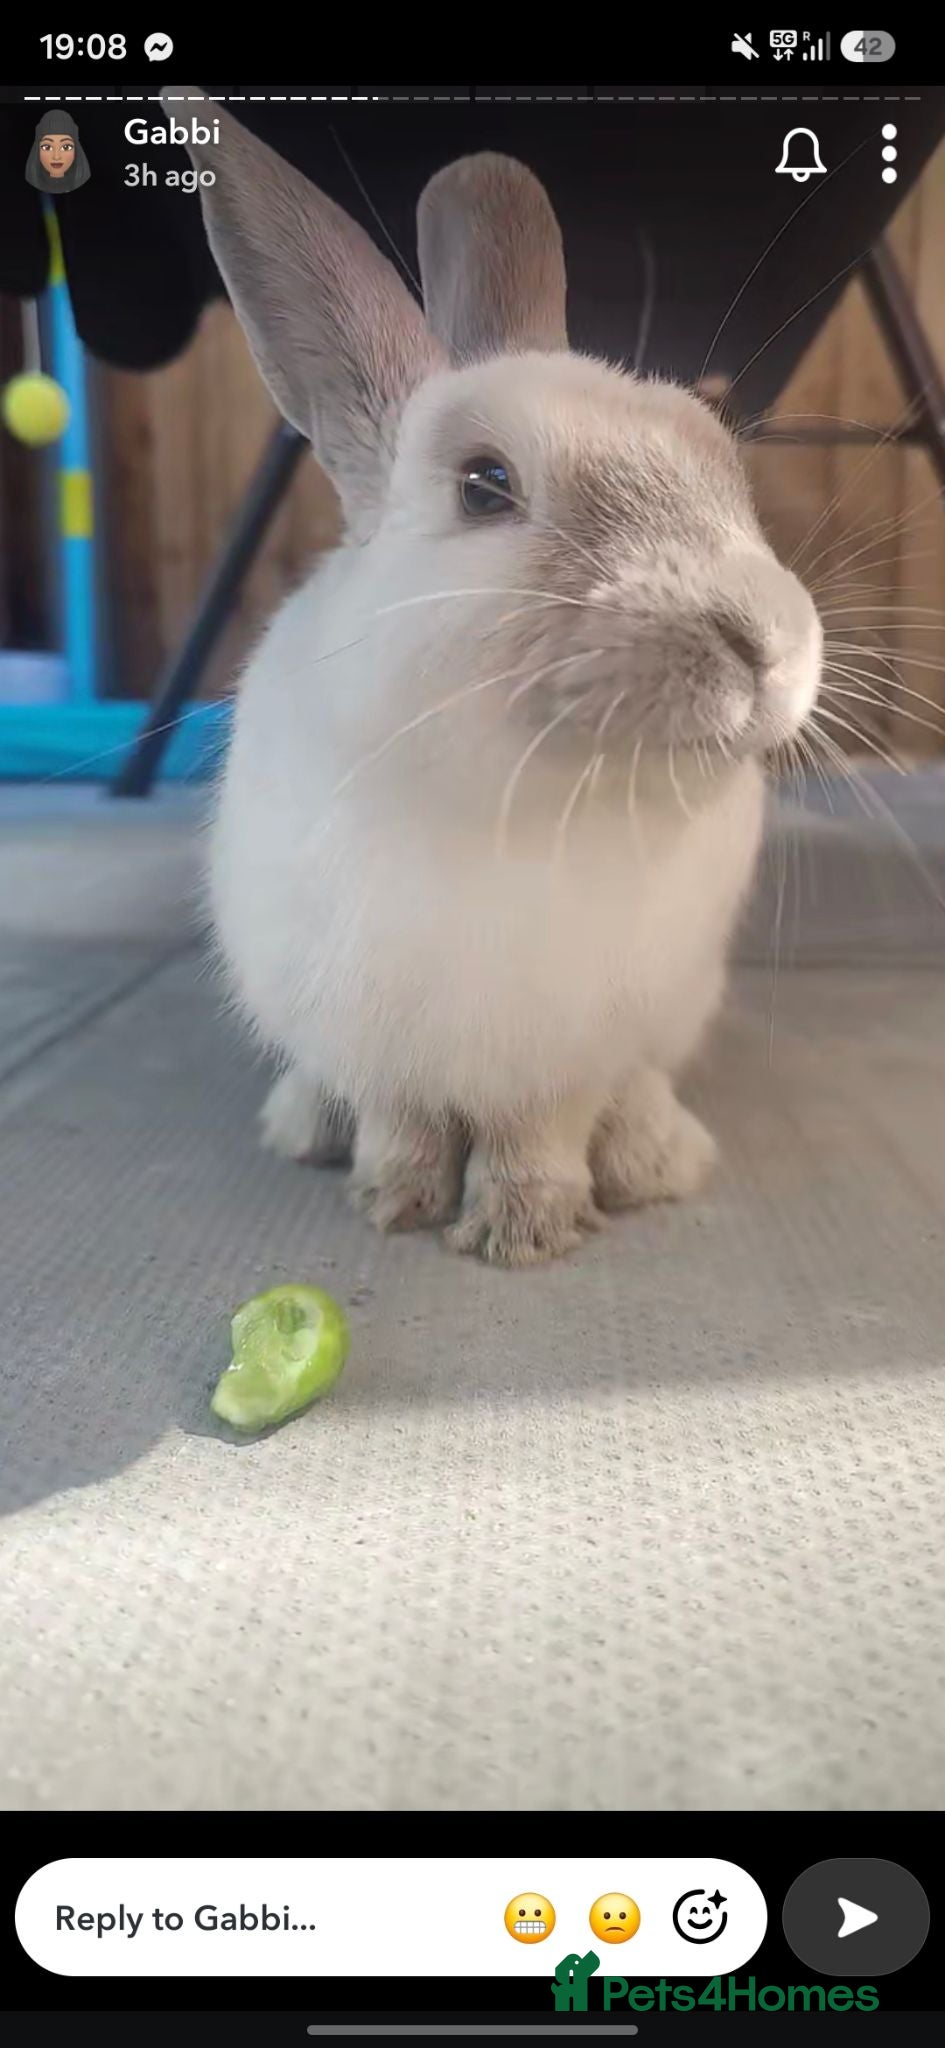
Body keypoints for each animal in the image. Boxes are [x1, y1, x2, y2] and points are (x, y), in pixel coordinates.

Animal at [178, 97, 822, 1266]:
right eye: (484, 486)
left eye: (722, 460)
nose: (768, 644)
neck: (528, 798)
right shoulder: (377, 1031)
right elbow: (399, 1120)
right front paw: (394, 1201)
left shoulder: (565, 1052)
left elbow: (543, 1132)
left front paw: (524, 1232)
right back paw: (304, 1127)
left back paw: (656, 1158)